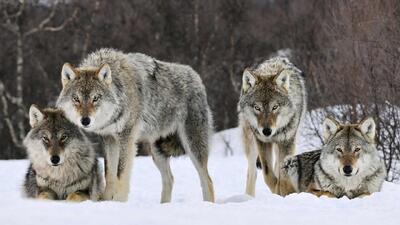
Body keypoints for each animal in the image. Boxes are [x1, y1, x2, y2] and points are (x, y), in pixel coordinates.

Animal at [56, 48, 216, 203]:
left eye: (95, 98)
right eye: (76, 99)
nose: (85, 121)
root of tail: (196, 77)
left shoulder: (126, 138)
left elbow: (120, 174)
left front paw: (119, 202)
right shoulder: (109, 139)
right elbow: (109, 174)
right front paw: (106, 201)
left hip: (192, 146)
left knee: (207, 180)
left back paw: (208, 204)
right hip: (157, 151)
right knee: (170, 179)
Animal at [238, 57, 306, 196]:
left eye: (275, 107)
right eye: (257, 108)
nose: (267, 131)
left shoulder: (287, 142)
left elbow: (281, 172)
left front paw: (281, 190)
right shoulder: (262, 142)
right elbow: (267, 174)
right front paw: (277, 189)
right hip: (251, 143)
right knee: (252, 173)